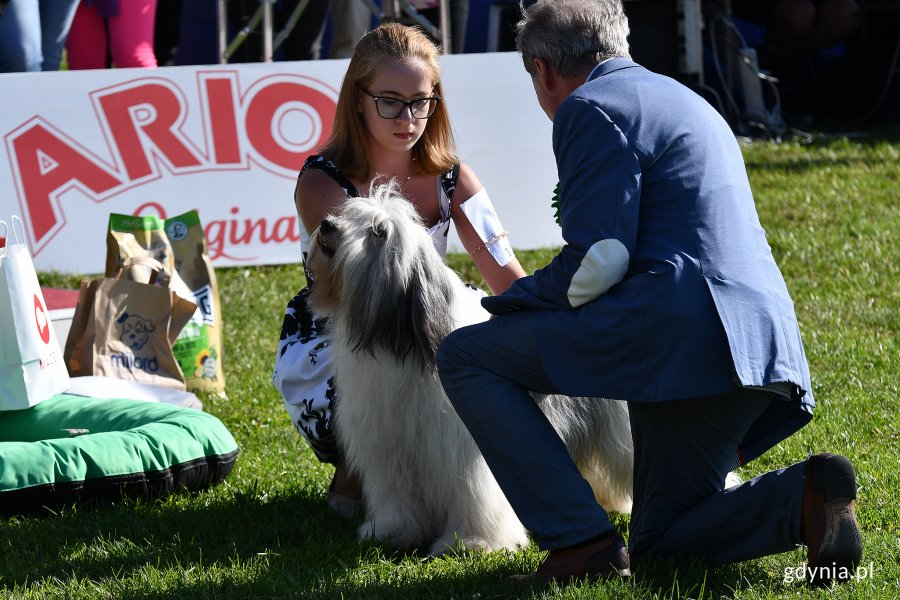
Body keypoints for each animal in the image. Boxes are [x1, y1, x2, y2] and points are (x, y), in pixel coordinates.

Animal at [306, 180, 636, 556]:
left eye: (379, 232)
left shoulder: (464, 448)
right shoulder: (389, 447)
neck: (398, 341)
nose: (328, 225)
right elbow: (396, 496)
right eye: (351, 213)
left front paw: (472, 542)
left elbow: (474, 495)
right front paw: (392, 532)